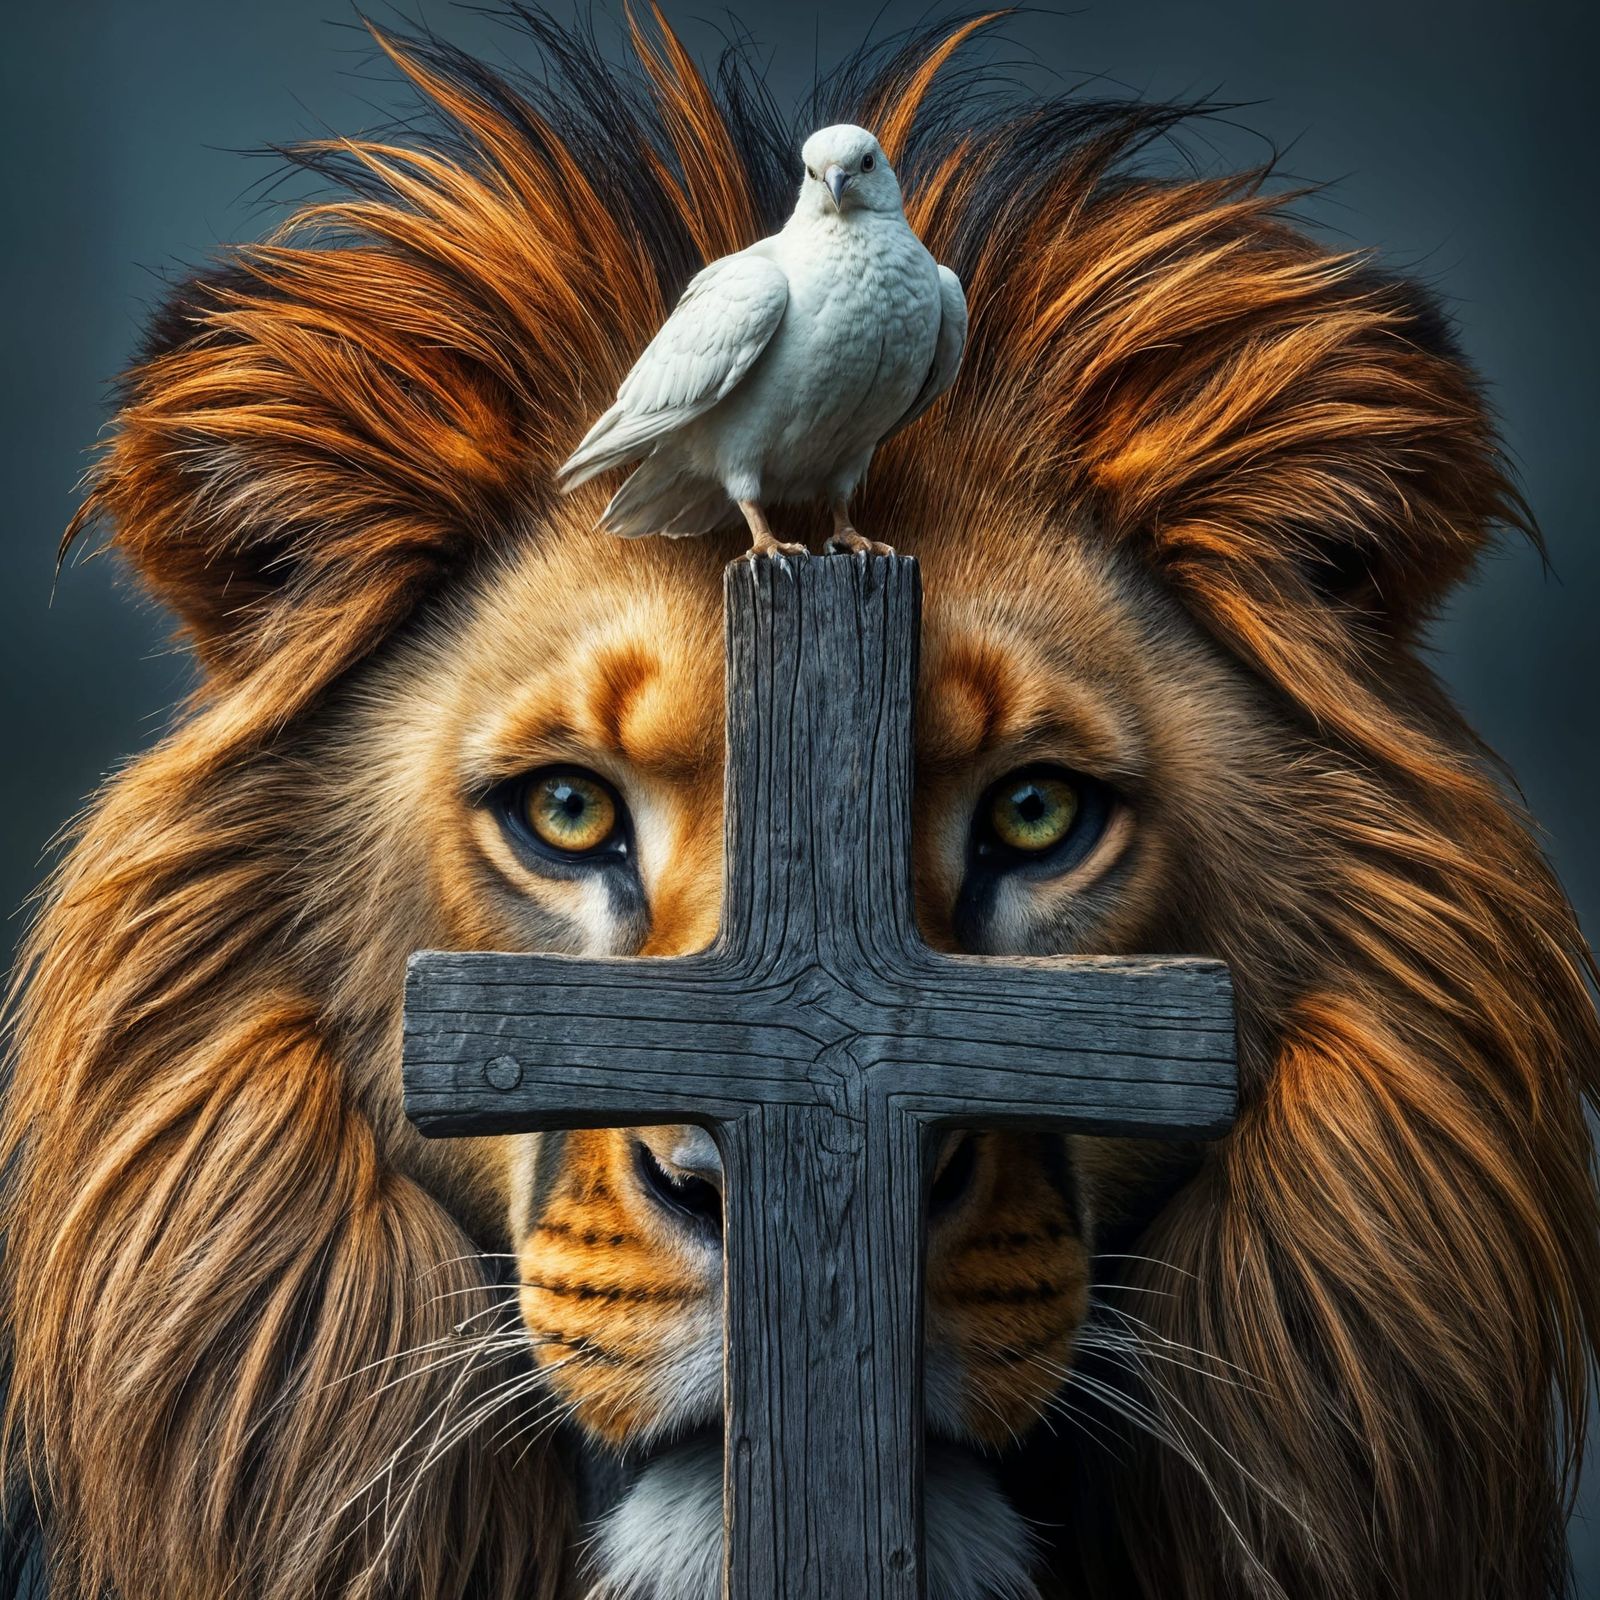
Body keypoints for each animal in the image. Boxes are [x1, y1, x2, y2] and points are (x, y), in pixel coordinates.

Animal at [4, 10, 1597, 1600]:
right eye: (566, 812)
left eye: (1036, 814)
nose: (763, 1198)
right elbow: (763, 488)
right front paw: (782, 551)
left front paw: (849, 544)